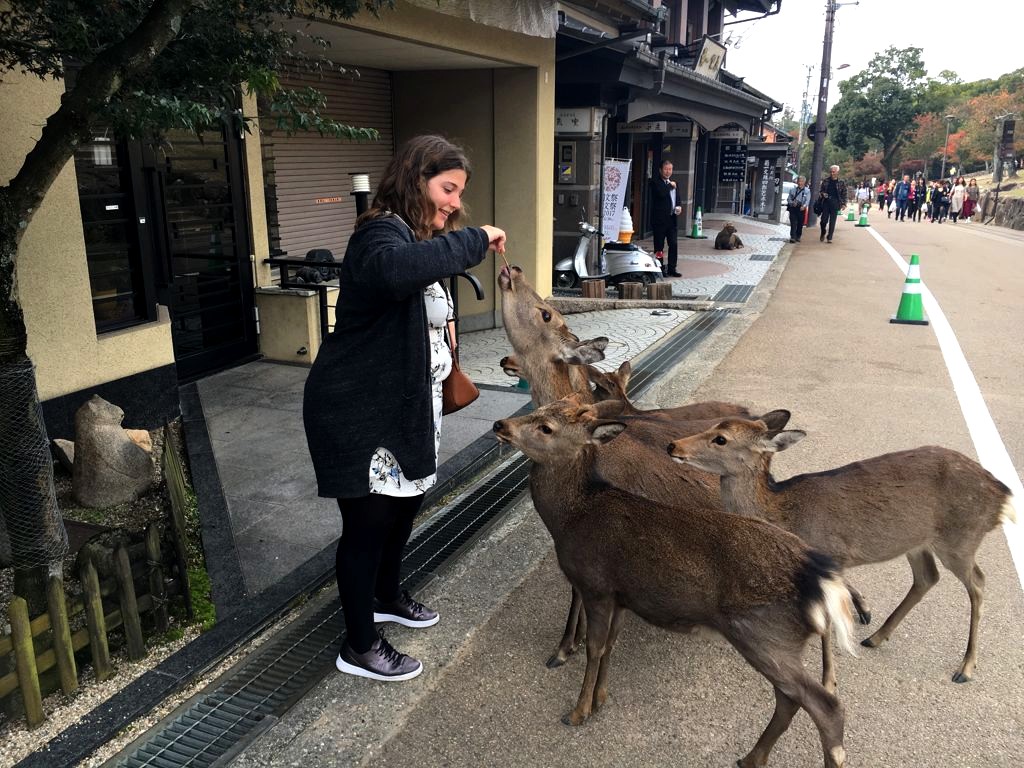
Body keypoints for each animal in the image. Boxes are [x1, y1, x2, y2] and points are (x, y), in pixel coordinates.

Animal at [493, 397, 855, 768]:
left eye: (546, 427)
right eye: (538, 410)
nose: (500, 425)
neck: (571, 517)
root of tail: (821, 582)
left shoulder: (596, 585)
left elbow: (595, 647)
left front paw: (578, 711)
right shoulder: (622, 596)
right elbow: (610, 644)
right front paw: (601, 698)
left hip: (764, 635)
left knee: (825, 705)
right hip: (779, 642)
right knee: (790, 699)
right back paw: (752, 758)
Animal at [668, 413, 1017, 684]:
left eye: (721, 439)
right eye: (712, 425)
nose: (673, 446)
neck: (783, 513)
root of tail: (1002, 494)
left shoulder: (833, 553)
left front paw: (829, 681)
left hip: (960, 538)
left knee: (978, 582)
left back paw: (965, 668)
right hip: (918, 540)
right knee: (927, 577)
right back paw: (875, 637)